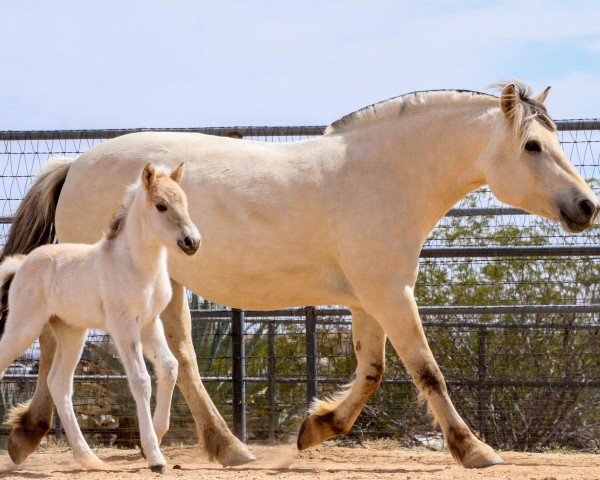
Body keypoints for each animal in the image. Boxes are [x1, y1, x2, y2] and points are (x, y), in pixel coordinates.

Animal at [0, 162, 202, 472]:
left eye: (185, 202)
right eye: (161, 206)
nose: (192, 242)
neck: (136, 266)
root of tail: (21, 264)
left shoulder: (149, 323)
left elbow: (169, 367)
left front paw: (154, 440)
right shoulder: (123, 326)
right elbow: (140, 379)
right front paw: (154, 457)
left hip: (72, 331)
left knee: (59, 383)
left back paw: (89, 458)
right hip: (23, 327)